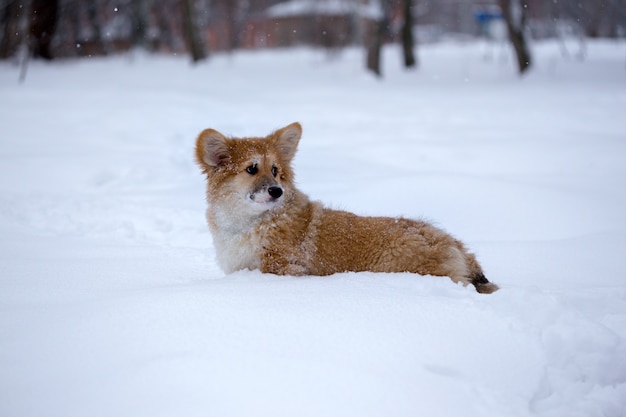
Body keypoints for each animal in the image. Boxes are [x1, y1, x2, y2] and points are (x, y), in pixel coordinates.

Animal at [195, 122, 498, 294]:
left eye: (275, 171)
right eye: (251, 169)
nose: (277, 191)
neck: (251, 224)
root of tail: (453, 244)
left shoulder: (282, 267)